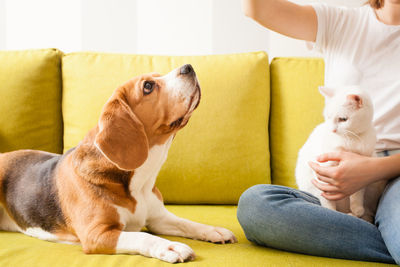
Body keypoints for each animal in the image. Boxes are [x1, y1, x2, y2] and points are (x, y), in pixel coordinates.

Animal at [0, 65, 236, 264]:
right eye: (148, 86)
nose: (188, 67)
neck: (139, 182)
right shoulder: (98, 234)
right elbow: (142, 236)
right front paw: (170, 247)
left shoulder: (159, 218)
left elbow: (185, 222)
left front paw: (212, 230)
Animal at [296, 86, 386, 224]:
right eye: (328, 117)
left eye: (343, 119)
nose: (332, 130)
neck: (350, 140)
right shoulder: (324, 169)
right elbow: (327, 197)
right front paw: (330, 212)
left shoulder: (360, 169)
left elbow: (357, 193)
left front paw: (357, 207)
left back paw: (354, 214)